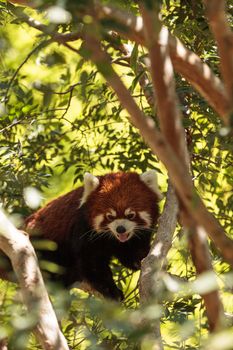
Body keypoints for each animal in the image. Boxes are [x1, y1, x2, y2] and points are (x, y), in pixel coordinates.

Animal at [25, 171, 162, 300]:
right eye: (110, 216)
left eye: (131, 215)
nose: (120, 229)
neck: (112, 238)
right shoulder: (83, 229)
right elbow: (92, 262)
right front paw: (111, 290)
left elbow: (131, 254)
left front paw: (141, 259)